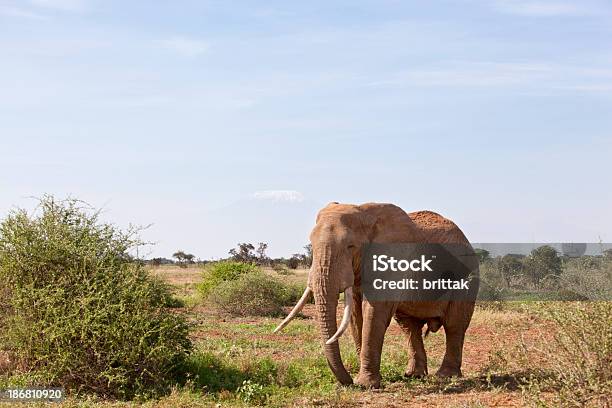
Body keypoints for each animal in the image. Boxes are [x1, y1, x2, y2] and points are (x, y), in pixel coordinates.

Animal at [274, 202, 480, 388]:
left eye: (350, 246)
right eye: (311, 245)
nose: (349, 382)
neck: (363, 213)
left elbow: (374, 311)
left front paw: (366, 384)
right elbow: (355, 314)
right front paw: (364, 380)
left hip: (467, 276)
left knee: (454, 325)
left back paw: (445, 376)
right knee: (409, 326)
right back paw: (413, 375)